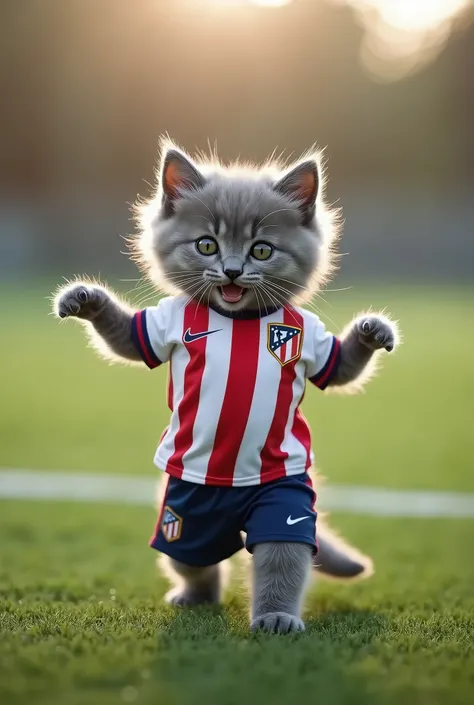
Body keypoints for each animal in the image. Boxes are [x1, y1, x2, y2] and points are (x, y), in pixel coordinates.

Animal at [53, 138, 398, 632]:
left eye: (261, 251)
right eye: (206, 244)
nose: (232, 270)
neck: (239, 318)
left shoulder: (314, 347)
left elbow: (346, 366)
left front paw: (373, 331)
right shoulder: (157, 326)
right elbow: (123, 337)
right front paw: (85, 300)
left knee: (276, 553)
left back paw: (273, 613)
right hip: (181, 523)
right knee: (192, 561)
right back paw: (196, 596)